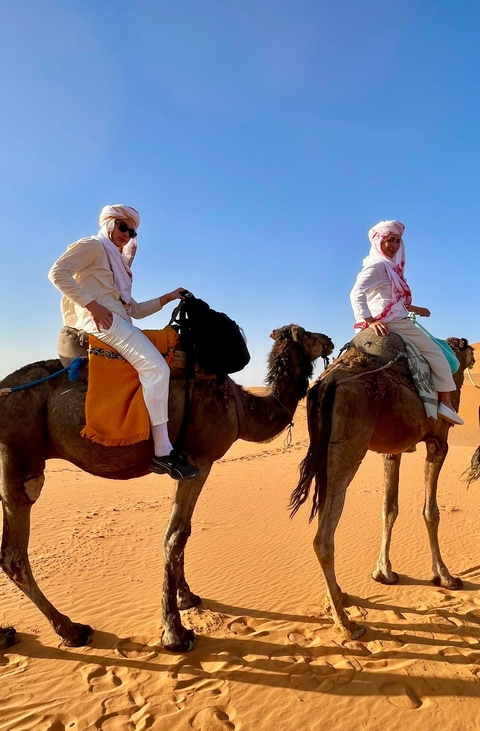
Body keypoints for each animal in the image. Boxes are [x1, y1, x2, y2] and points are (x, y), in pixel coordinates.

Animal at [0, 324, 333, 652]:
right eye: (307, 334)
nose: (329, 339)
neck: (241, 406)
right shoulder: (200, 461)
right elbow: (176, 536)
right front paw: (176, 634)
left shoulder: (183, 465)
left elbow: (183, 531)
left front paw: (187, 598)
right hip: (20, 458)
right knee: (14, 555)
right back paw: (72, 630)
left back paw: (8, 635)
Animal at [289, 331, 474, 640]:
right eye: (472, 349)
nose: (473, 358)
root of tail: (326, 384)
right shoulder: (438, 442)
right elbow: (431, 512)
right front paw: (445, 576)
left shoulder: (392, 451)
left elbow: (389, 508)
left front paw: (384, 573)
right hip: (351, 443)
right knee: (323, 538)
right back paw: (347, 625)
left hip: (327, 450)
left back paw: (339, 597)